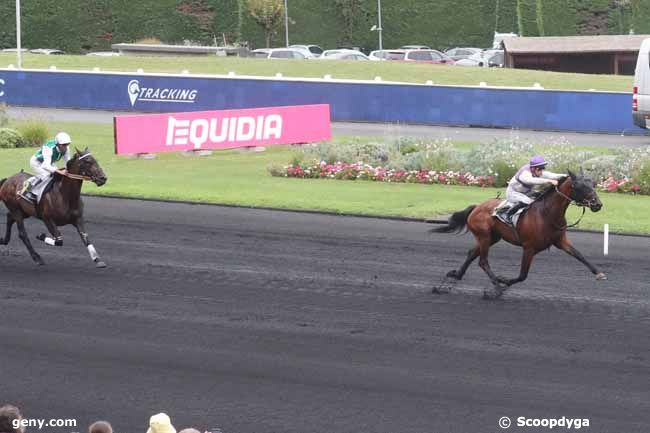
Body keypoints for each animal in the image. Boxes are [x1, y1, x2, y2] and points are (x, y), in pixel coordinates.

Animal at [432, 170, 604, 298]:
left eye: (592, 183)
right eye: (579, 186)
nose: (598, 204)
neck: (547, 214)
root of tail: (476, 207)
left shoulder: (560, 241)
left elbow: (579, 255)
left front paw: (599, 273)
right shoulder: (529, 248)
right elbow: (523, 275)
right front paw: (502, 282)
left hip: (492, 237)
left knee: (472, 253)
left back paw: (456, 275)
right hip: (484, 236)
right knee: (483, 261)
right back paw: (496, 286)